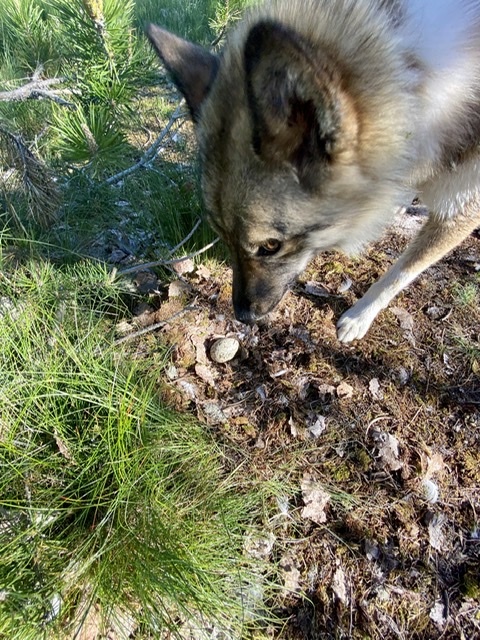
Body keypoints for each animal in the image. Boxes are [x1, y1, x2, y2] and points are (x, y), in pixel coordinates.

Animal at [146, 1, 480, 340]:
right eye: (222, 236)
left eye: (270, 246)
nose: (243, 316)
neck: (415, 80)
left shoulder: (461, 213)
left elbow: (400, 272)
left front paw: (359, 316)